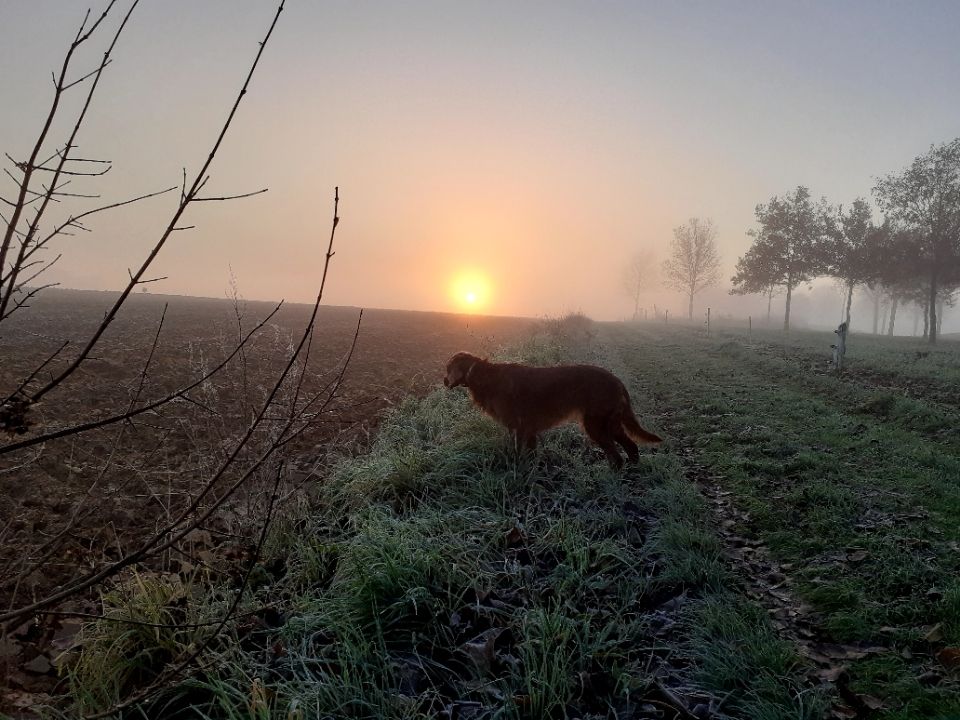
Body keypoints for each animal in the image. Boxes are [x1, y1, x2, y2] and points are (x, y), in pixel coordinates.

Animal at [442, 352, 660, 466]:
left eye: (448, 368)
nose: (443, 380)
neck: (483, 376)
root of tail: (615, 379)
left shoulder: (517, 427)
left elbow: (517, 451)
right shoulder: (527, 429)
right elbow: (530, 452)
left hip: (595, 425)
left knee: (616, 456)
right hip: (611, 423)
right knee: (631, 446)